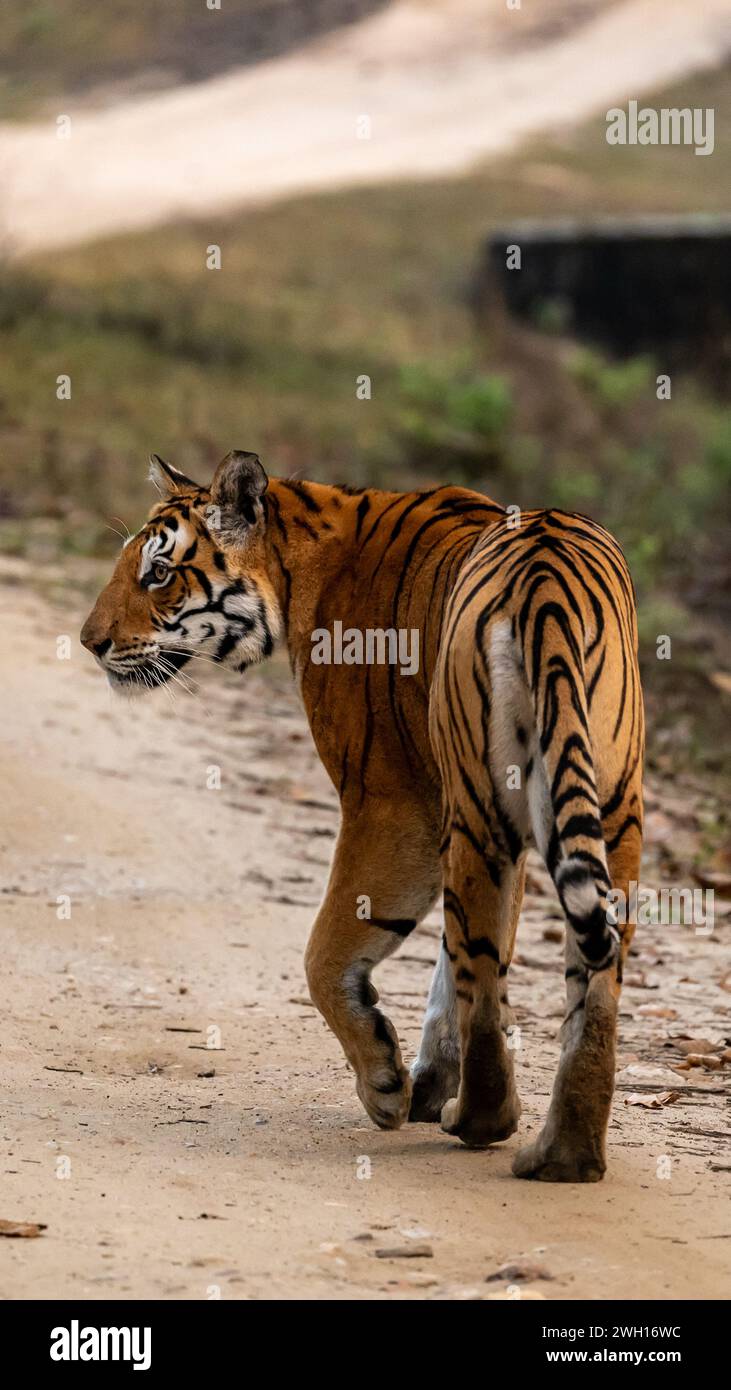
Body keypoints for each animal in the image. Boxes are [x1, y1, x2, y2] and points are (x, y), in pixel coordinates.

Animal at [81, 450, 647, 1178]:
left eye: (157, 573)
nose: (89, 643)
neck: (300, 565)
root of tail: (546, 584)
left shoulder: (391, 803)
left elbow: (326, 955)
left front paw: (386, 1083)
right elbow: (449, 971)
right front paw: (426, 1081)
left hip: (478, 812)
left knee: (483, 975)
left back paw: (484, 1118)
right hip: (608, 805)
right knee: (592, 978)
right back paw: (563, 1152)